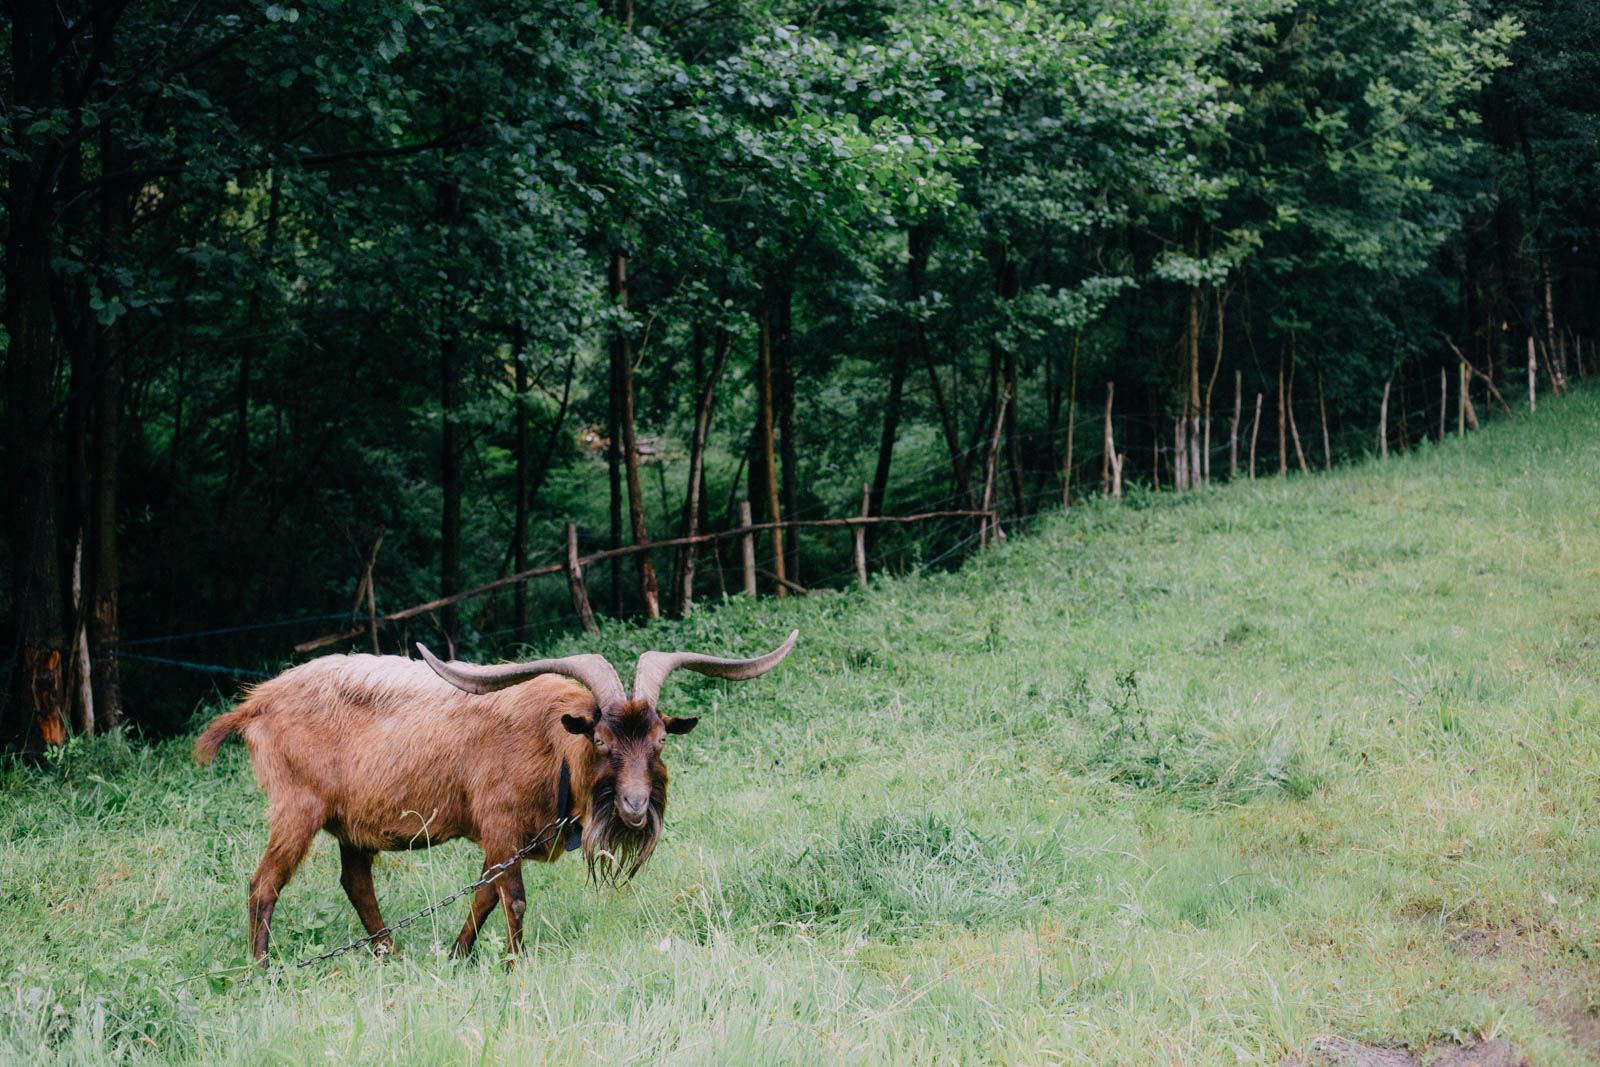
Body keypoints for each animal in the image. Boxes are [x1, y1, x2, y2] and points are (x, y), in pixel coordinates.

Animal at [196, 630, 796, 966]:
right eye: (601, 740)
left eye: (661, 739)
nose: (632, 808)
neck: (552, 743)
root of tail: (258, 702)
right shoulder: (501, 826)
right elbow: (514, 899)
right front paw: (514, 966)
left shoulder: (501, 840)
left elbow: (484, 894)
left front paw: (459, 958)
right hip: (297, 808)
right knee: (263, 885)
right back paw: (261, 971)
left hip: (353, 826)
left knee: (356, 883)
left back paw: (390, 957)